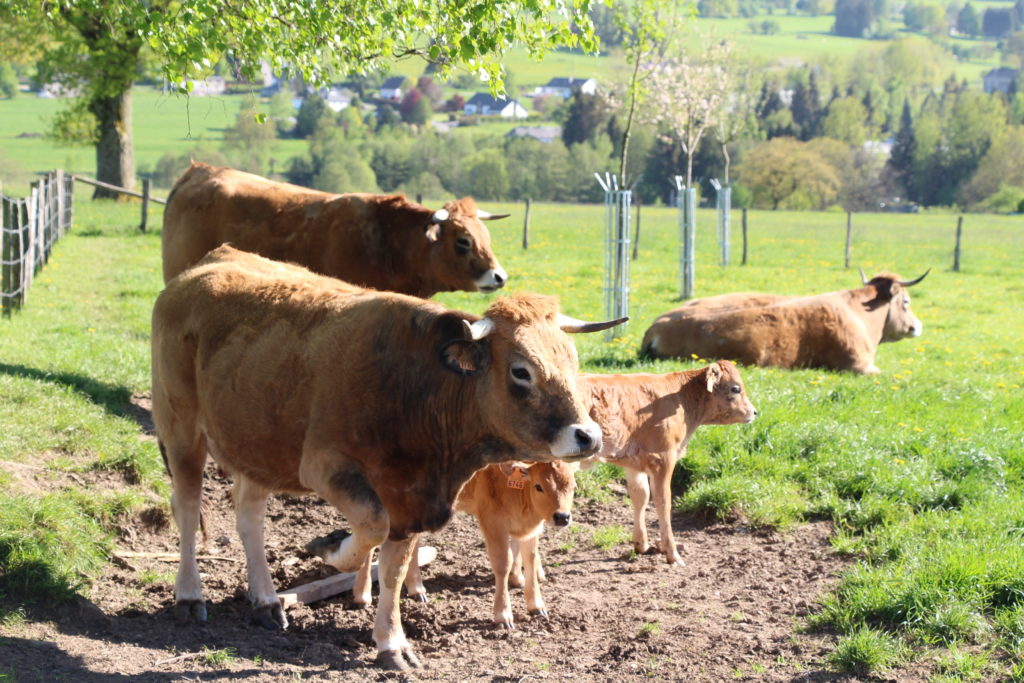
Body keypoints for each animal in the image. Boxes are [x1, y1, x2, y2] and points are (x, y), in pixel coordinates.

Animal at [342, 458, 577, 630]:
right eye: (539, 486)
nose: (562, 517)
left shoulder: (530, 529)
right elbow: (503, 564)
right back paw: (362, 595)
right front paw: (503, 616)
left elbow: (530, 559)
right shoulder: (493, 523)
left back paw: (417, 589)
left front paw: (537, 606)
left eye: (573, 486)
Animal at [581, 362, 757, 565]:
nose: (754, 412)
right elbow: (663, 502)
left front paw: (642, 544)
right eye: (736, 388)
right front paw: (672, 553)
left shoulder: (633, 462)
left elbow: (641, 496)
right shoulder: (663, 457)